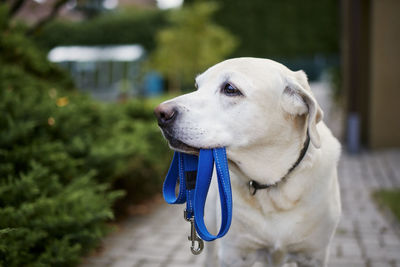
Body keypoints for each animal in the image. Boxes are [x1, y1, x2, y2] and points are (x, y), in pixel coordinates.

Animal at [154, 57, 340, 266]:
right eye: (197, 86)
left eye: (230, 88)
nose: (160, 114)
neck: (273, 188)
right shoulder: (235, 254)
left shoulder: (313, 255)